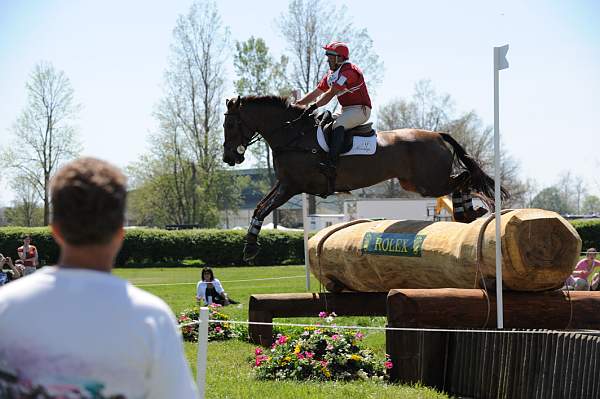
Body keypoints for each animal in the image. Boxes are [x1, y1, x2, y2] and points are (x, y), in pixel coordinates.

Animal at [223, 95, 508, 260]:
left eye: (231, 124)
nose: (229, 158)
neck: (294, 135)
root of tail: (437, 135)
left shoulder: (292, 186)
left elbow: (263, 209)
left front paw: (250, 249)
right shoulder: (284, 184)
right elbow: (259, 208)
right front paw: (249, 246)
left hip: (429, 183)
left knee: (463, 178)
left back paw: (467, 213)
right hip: (416, 182)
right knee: (463, 178)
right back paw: (467, 215)